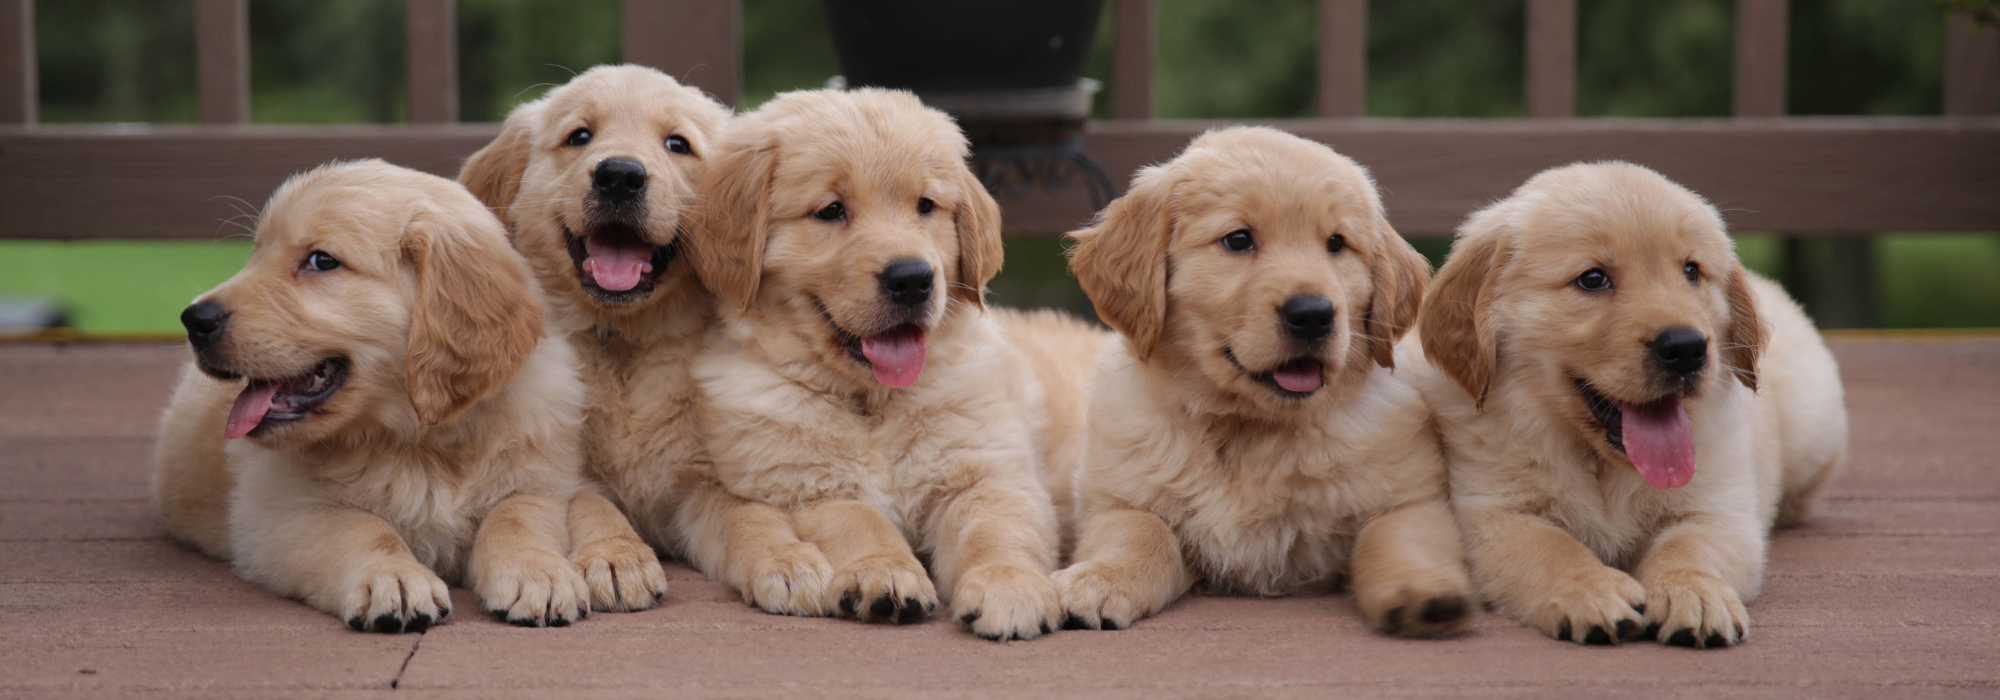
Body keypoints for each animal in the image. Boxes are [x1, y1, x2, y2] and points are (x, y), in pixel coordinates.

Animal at [155, 161, 640, 632]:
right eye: (256, 253)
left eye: (322, 261)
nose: (194, 319)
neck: (418, 440)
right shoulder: (277, 512)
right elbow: (360, 528)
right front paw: (393, 576)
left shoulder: (543, 480)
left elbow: (516, 515)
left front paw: (536, 572)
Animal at [460, 64, 828, 612]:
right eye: (580, 136)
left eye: (677, 144)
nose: (619, 176)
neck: (624, 343)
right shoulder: (564, 471)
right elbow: (591, 506)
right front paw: (616, 557)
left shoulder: (702, 478)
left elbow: (745, 512)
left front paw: (787, 559)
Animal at [684, 87, 1096, 640]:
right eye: (831, 210)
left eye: (925, 205)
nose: (912, 279)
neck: (871, 403)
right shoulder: (805, 485)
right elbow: (860, 523)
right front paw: (882, 574)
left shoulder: (989, 472)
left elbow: (996, 531)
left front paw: (1009, 587)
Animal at [1048, 126, 1472, 636]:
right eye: (1238, 240)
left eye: (1336, 243)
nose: (1313, 315)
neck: (1248, 429)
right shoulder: (1116, 499)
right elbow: (1143, 532)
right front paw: (1100, 580)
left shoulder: (1413, 497)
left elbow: (1393, 535)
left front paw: (1422, 592)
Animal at [1400, 160, 1848, 652]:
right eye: (1593, 279)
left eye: (1692, 271)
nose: (1687, 348)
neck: (1601, 464)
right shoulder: (1493, 515)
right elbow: (1551, 549)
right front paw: (1591, 590)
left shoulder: (1718, 508)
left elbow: (1688, 548)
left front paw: (1693, 593)